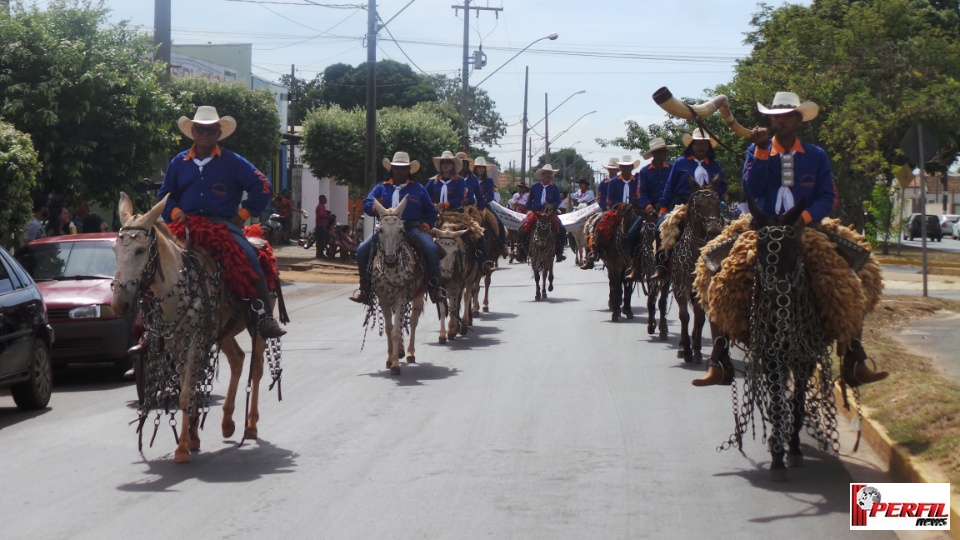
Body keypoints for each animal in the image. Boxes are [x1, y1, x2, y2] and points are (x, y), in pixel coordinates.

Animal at [114, 193, 278, 464]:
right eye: (115, 249)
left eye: (140, 250)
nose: (120, 303)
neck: (177, 285)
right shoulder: (177, 342)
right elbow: (187, 387)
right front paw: (191, 436)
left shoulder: (196, 340)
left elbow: (186, 392)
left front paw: (182, 447)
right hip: (222, 332)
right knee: (237, 359)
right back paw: (227, 422)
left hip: (256, 325)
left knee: (256, 368)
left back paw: (251, 424)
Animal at [370, 197, 426, 376]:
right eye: (380, 230)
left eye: (401, 230)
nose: (390, 259)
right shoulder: (383, 298)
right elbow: (389, 328)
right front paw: (390, 359)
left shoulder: (402, 296)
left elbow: (396, 330)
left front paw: (395, 364)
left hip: (417, 296)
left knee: (412, 322)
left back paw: (409, 353)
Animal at [664, 177, 724, 362]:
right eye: (698, 204)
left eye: (717, 203)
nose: (714, 231)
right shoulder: (679, 287)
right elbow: (684, 316)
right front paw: (685, 349)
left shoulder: (700, 288)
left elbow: (699, 318)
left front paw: (695, 349)